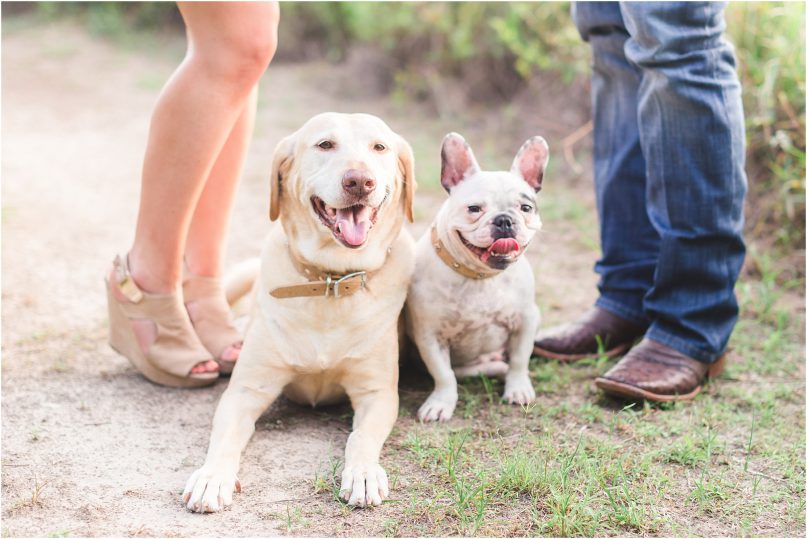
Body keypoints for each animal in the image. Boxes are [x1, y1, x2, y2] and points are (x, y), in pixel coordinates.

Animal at [185, 113, 416, 510]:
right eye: (325, 145)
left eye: (379, 147)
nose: (359, 181)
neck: (330, 282)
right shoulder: (246, 390)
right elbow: (224, 439)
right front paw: (212, 477)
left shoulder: (378, 393)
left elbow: (361, 437)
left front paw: (364, 473)